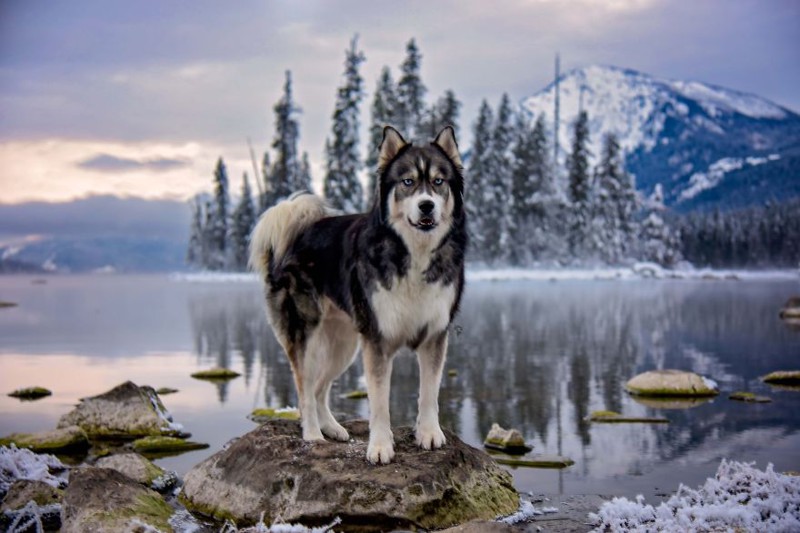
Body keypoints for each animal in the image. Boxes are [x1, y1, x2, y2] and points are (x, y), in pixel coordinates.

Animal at [247, 124, 466, 462]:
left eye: (438, 181)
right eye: (408, 182)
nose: (426, 205)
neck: (412, 252)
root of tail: (294, 234)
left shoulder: (434, 334)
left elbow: (429, 393)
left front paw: (429, 433)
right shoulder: (377, 340)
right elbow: (379, 403)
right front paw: (380, 446)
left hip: (344, 344)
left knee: (320, 389)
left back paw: (333, 429)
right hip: (308, 336)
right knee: (305, 390)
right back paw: (313, 436)